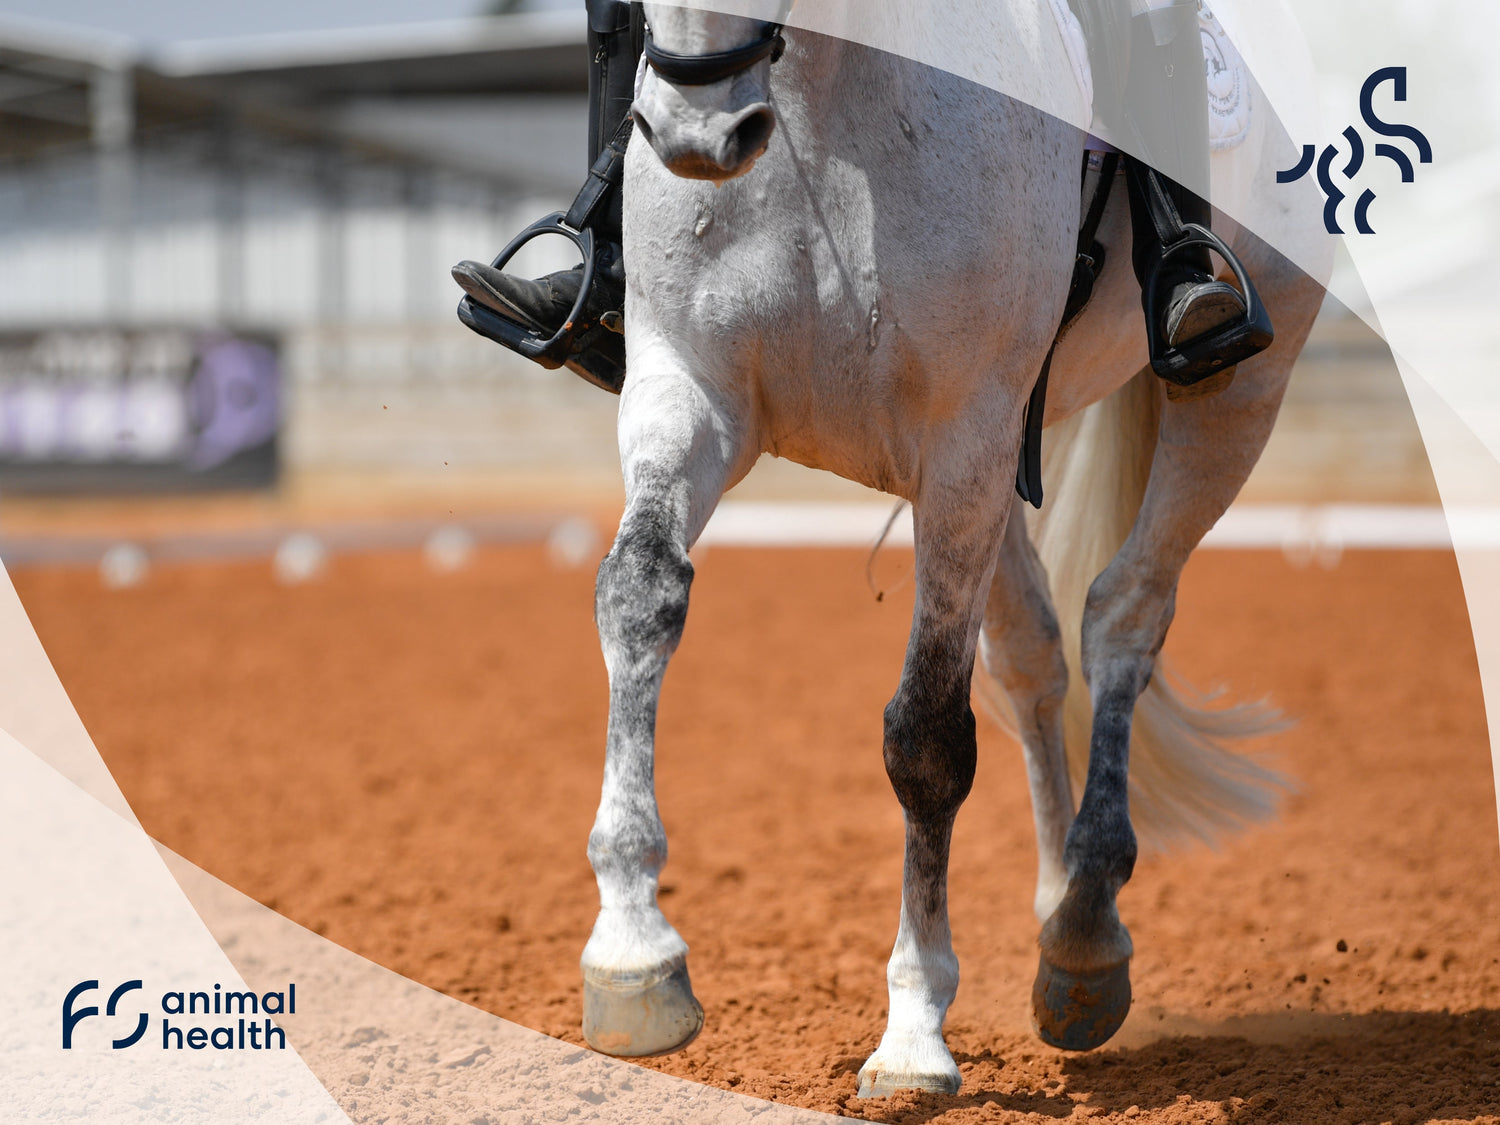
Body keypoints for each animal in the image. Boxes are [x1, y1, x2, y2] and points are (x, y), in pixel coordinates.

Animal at [577, 0, 1328, 1097]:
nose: (696, 137)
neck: (820, 114)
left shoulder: (965, 436)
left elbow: (927, 734)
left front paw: (914, 1032)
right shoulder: (689, 387)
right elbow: (641, 597)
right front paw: (633, 958)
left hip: (1232, 396)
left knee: (1125, 614)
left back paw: (1088, 929)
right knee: (1032, 659)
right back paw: (1062, 915)